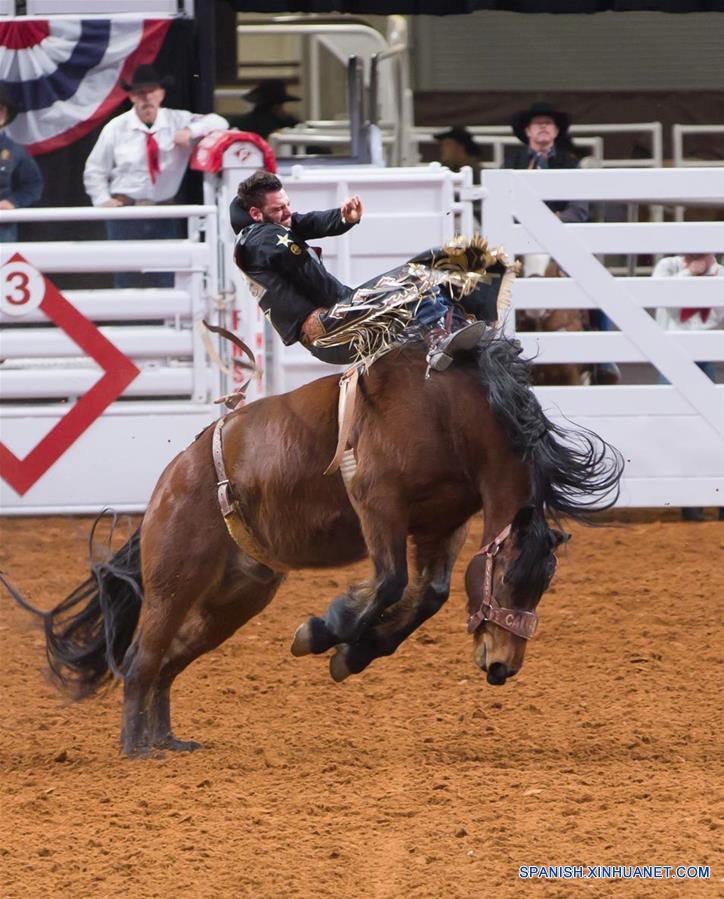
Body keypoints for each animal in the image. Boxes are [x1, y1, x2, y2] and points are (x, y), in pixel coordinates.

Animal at [5, 326, 624, 756]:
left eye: (544, 585)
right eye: (515, 576)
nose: (503, 666)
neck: (449, 414)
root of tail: (174, 479)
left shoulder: (442, 525)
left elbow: (429, 595)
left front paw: (353, 654)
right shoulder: (376, 502)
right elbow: (390, 583)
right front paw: (322, 633)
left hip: (235, 598)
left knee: (169, 662)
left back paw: (166, 740)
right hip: (173, 580)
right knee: (140, 659)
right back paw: (137, 748)